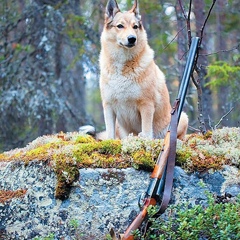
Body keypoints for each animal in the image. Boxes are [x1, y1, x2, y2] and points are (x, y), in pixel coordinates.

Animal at [98, 0, 188, 141]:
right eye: (120, 26)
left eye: (135, 26)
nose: (132, 38)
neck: (122, 66)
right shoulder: (108, 106)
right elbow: (110, 133)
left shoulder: (146, 104)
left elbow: (146, 131)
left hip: (182, 117)